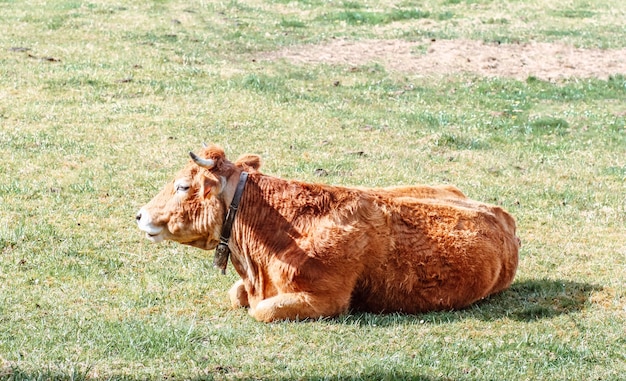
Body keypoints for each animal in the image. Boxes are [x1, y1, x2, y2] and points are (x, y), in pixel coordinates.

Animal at [135, 144, 516, 322]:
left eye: (183, 186)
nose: (139, 215)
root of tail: (499, 213)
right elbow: (235, 294)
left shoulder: (327, 300)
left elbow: (262, 311)